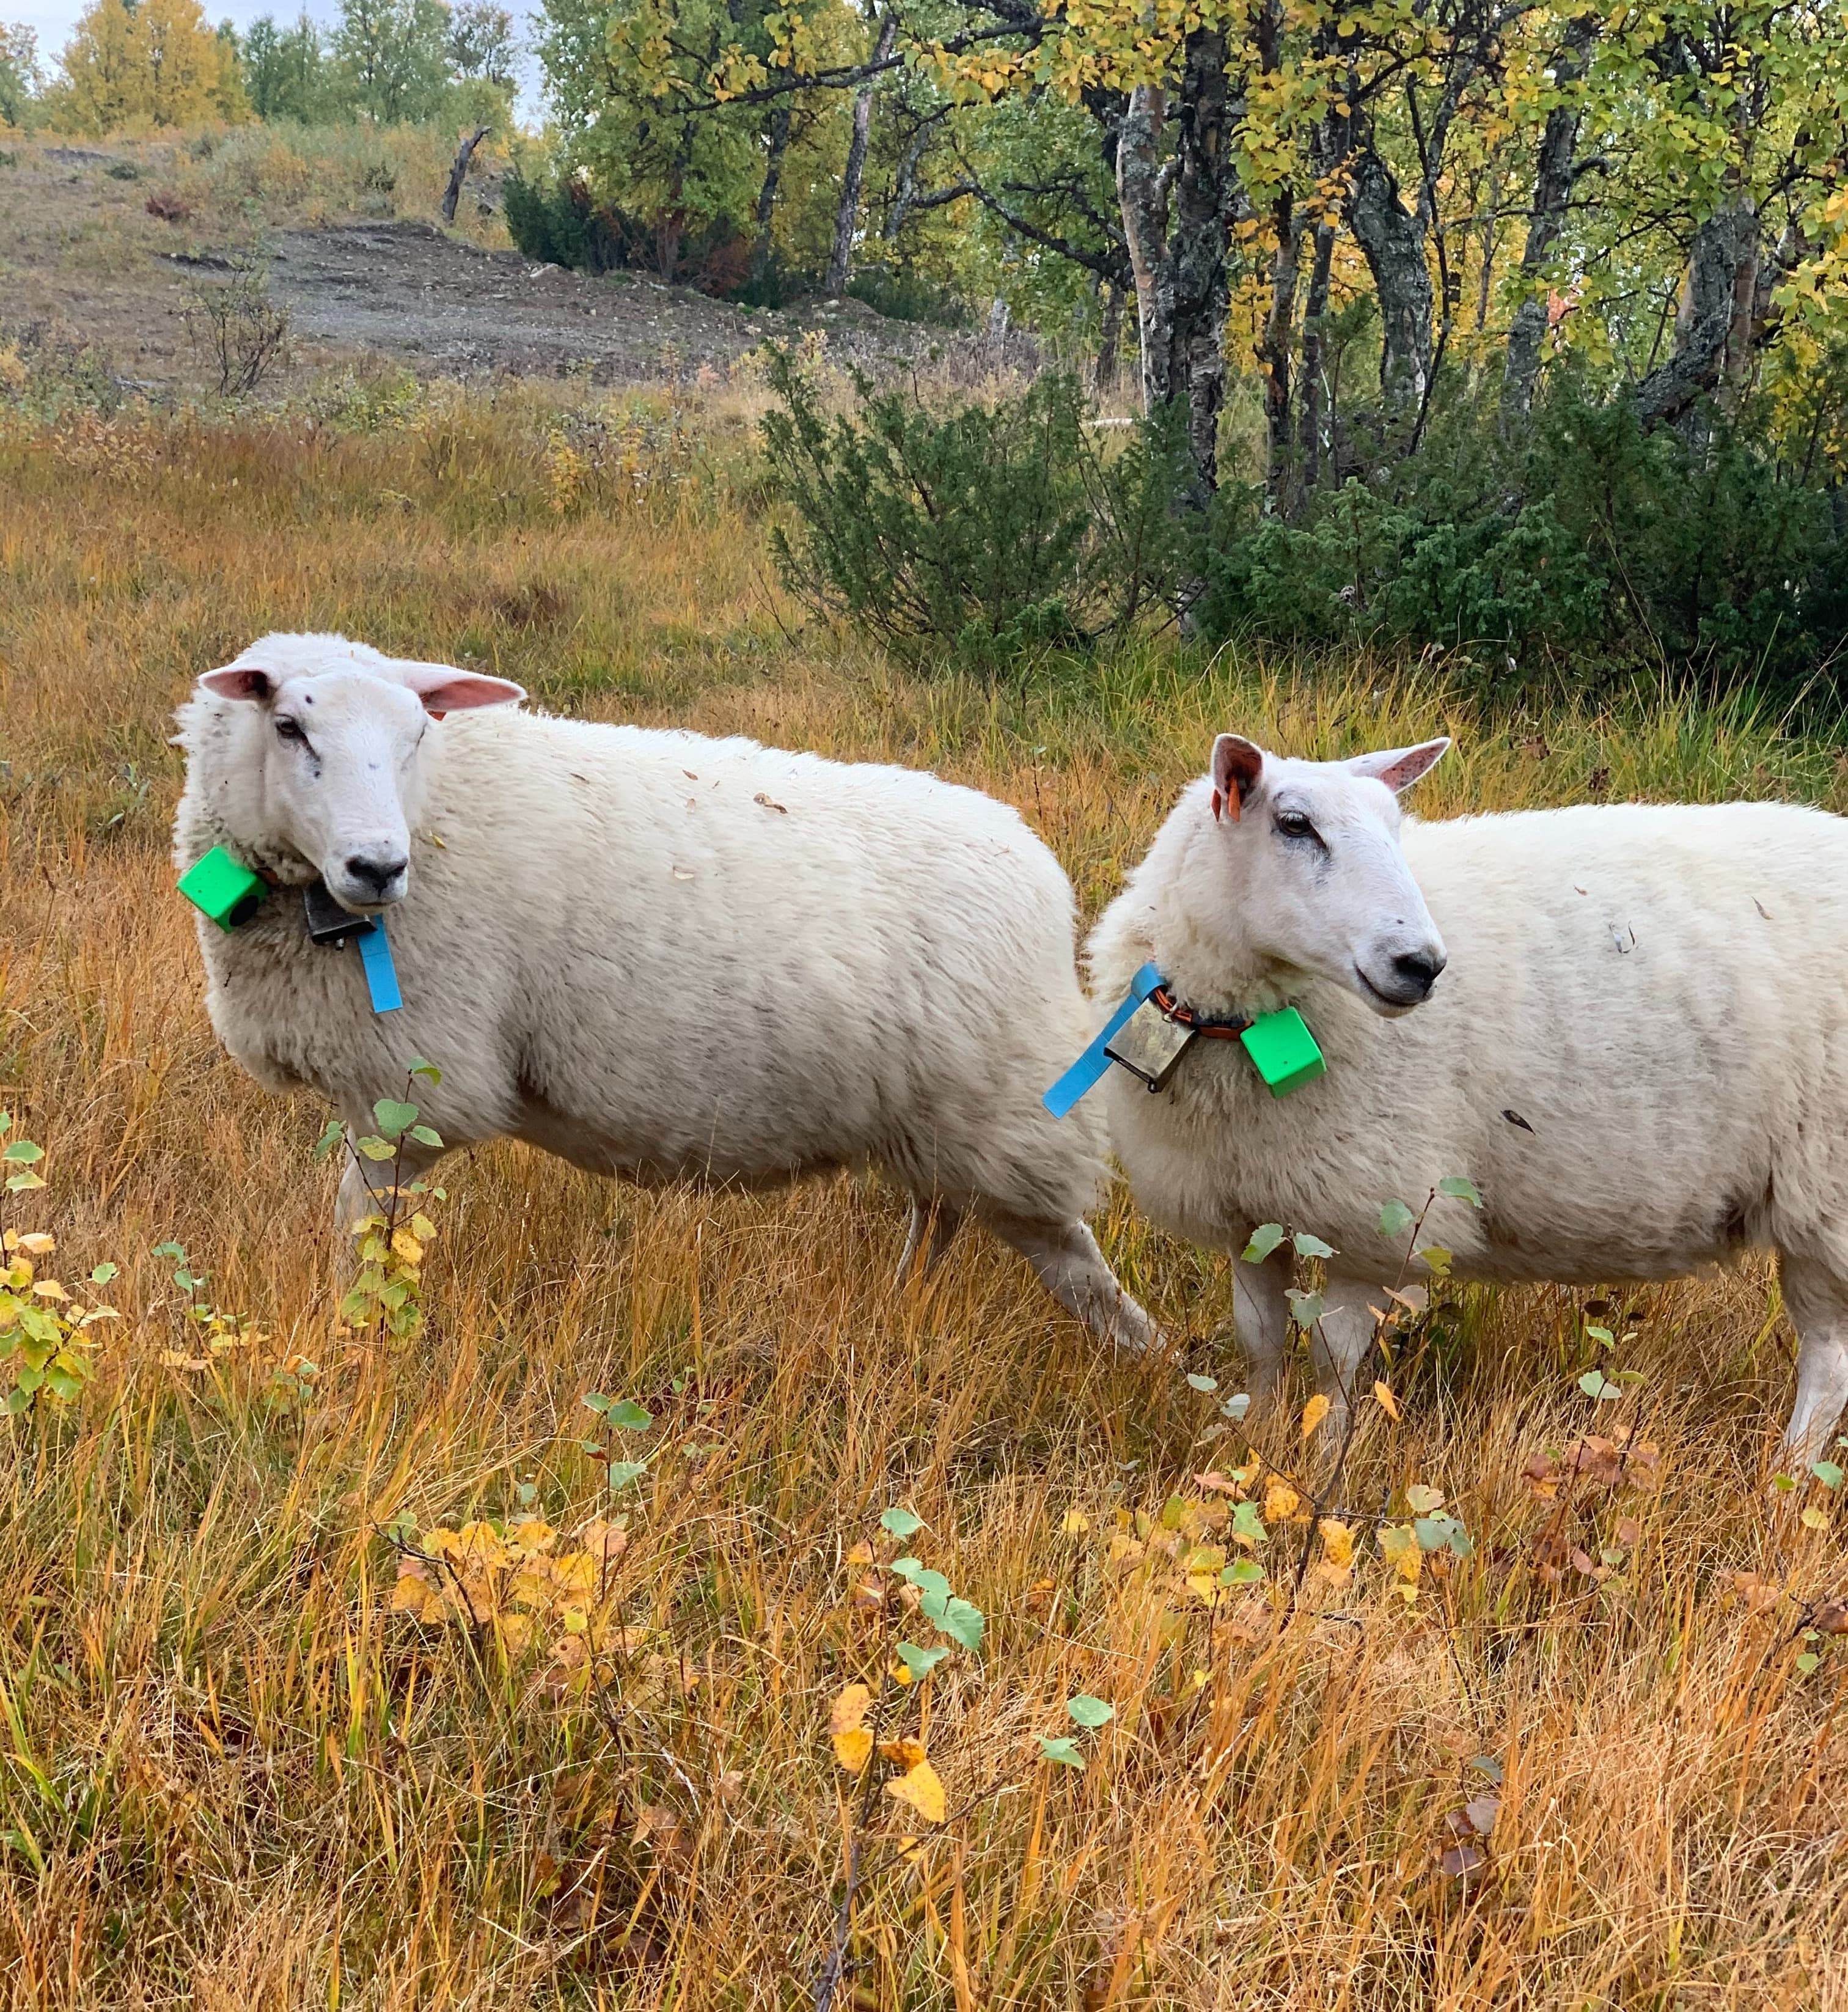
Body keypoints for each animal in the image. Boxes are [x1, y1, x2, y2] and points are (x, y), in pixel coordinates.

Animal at [172, 628, 1158, 1352]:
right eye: (289, 728)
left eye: (418, 733)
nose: (378, 868)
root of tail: (1043, 875)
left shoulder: (410, 1087)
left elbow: (361, 1235)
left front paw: (355, 1344)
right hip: (929, 1119)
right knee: (943, 1215)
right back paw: (901, 1306)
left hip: (1004, 1109)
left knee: (1067, 1255)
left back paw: (1146, 1360)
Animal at [1094, 732, 1848, 1472]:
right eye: (1294, 824)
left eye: (1396, 827)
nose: (1421, 965)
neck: (1243, 1028)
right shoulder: (1247, 1209)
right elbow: (1260, 1338)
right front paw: (1254, 1441)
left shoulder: (1372, 1216)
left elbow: (1335, 1361)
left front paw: (1323, 1463)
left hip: (1828, 1191)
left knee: (1829, 1361)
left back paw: (1787, 1475)